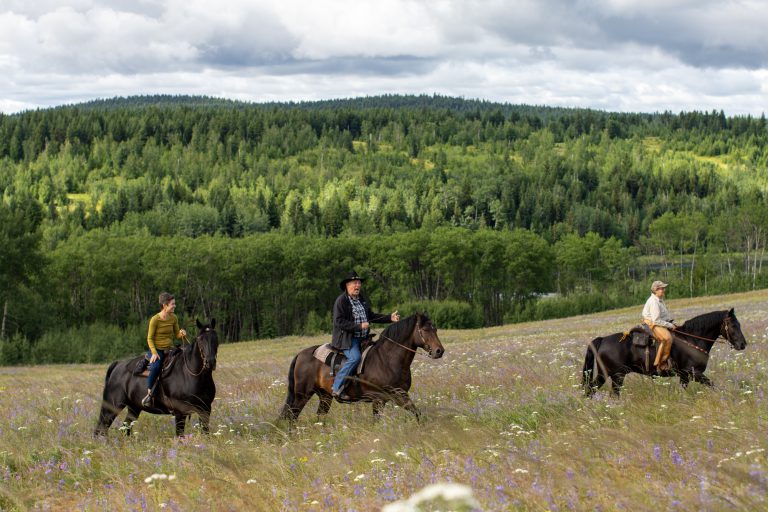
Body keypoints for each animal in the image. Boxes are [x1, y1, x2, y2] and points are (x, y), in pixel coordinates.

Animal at [280, 312, 444, 424]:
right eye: (425, 330)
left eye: (435, 329)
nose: (439, 351)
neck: (387, 360)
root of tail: (300, 355)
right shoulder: (378, 399)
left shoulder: (400, 395)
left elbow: (417, 413)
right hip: (302, 395)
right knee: (291, 416)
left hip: (325, 396)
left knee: (319, 416)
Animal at [584, 308, 748, 396]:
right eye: (733, 325)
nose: (743, 344)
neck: (693, 339)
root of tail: (603, 340)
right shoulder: (695, 373)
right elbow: (713, 385)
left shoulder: (684, 376)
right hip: (617, 375)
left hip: (605, 375)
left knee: (590, 390)